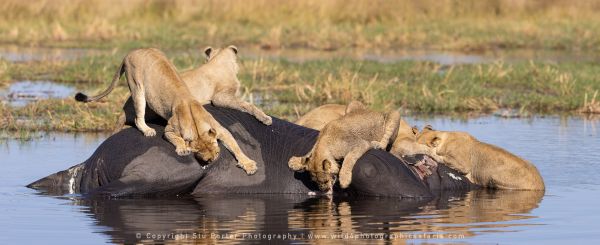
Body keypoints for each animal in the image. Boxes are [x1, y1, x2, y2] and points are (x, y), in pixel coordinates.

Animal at [74, 47, 256, 174]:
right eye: (205, 157)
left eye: (217, 152)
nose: (212, 162)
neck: (196, 125)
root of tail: (132, 52)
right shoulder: (169, 130)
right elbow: (176, 138)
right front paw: (182, 148)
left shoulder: (219, 129)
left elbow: (235, 145)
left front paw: (248, 164)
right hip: (137, 87)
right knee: (138, 117)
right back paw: (147, 130)